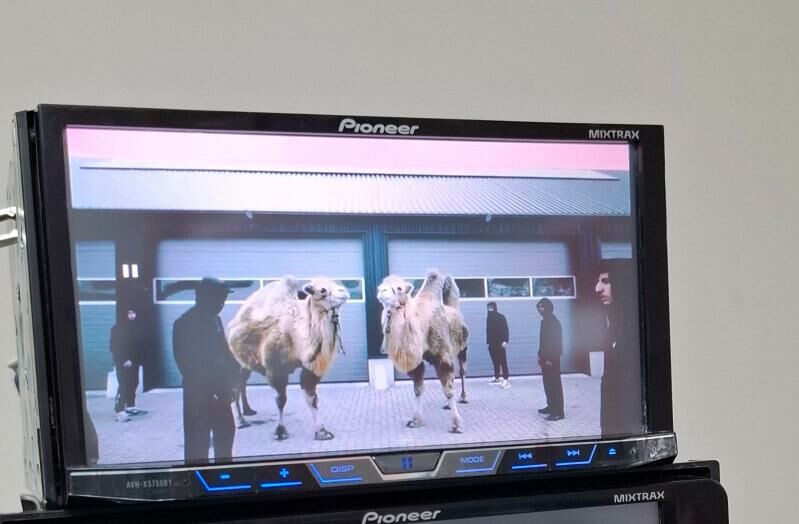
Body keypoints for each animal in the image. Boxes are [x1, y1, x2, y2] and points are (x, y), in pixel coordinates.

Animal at [227, 276, 349, 441]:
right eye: (322, 290)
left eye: (337, 283)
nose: (344, 292)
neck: (297, 337)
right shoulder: (276, 369)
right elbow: (281, 400)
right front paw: (280, 431)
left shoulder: (309, 368)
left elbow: (312, 399)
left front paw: (322, 431)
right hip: (236, 361)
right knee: (235, 386)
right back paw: (241, 420)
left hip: (246, 365)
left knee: (242, 384)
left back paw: (248, 411)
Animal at [377, 269, 469, 433]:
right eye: (382, 285)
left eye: (399, 288)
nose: (381, 291)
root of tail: (455, 309)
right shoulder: (417, 363)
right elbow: (418, 390)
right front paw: (415, 420)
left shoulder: (442, 355)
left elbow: (448, 391)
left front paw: (456, 425)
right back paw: (446, 405)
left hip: (462, 348)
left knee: (462, 372)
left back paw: (463, 397)